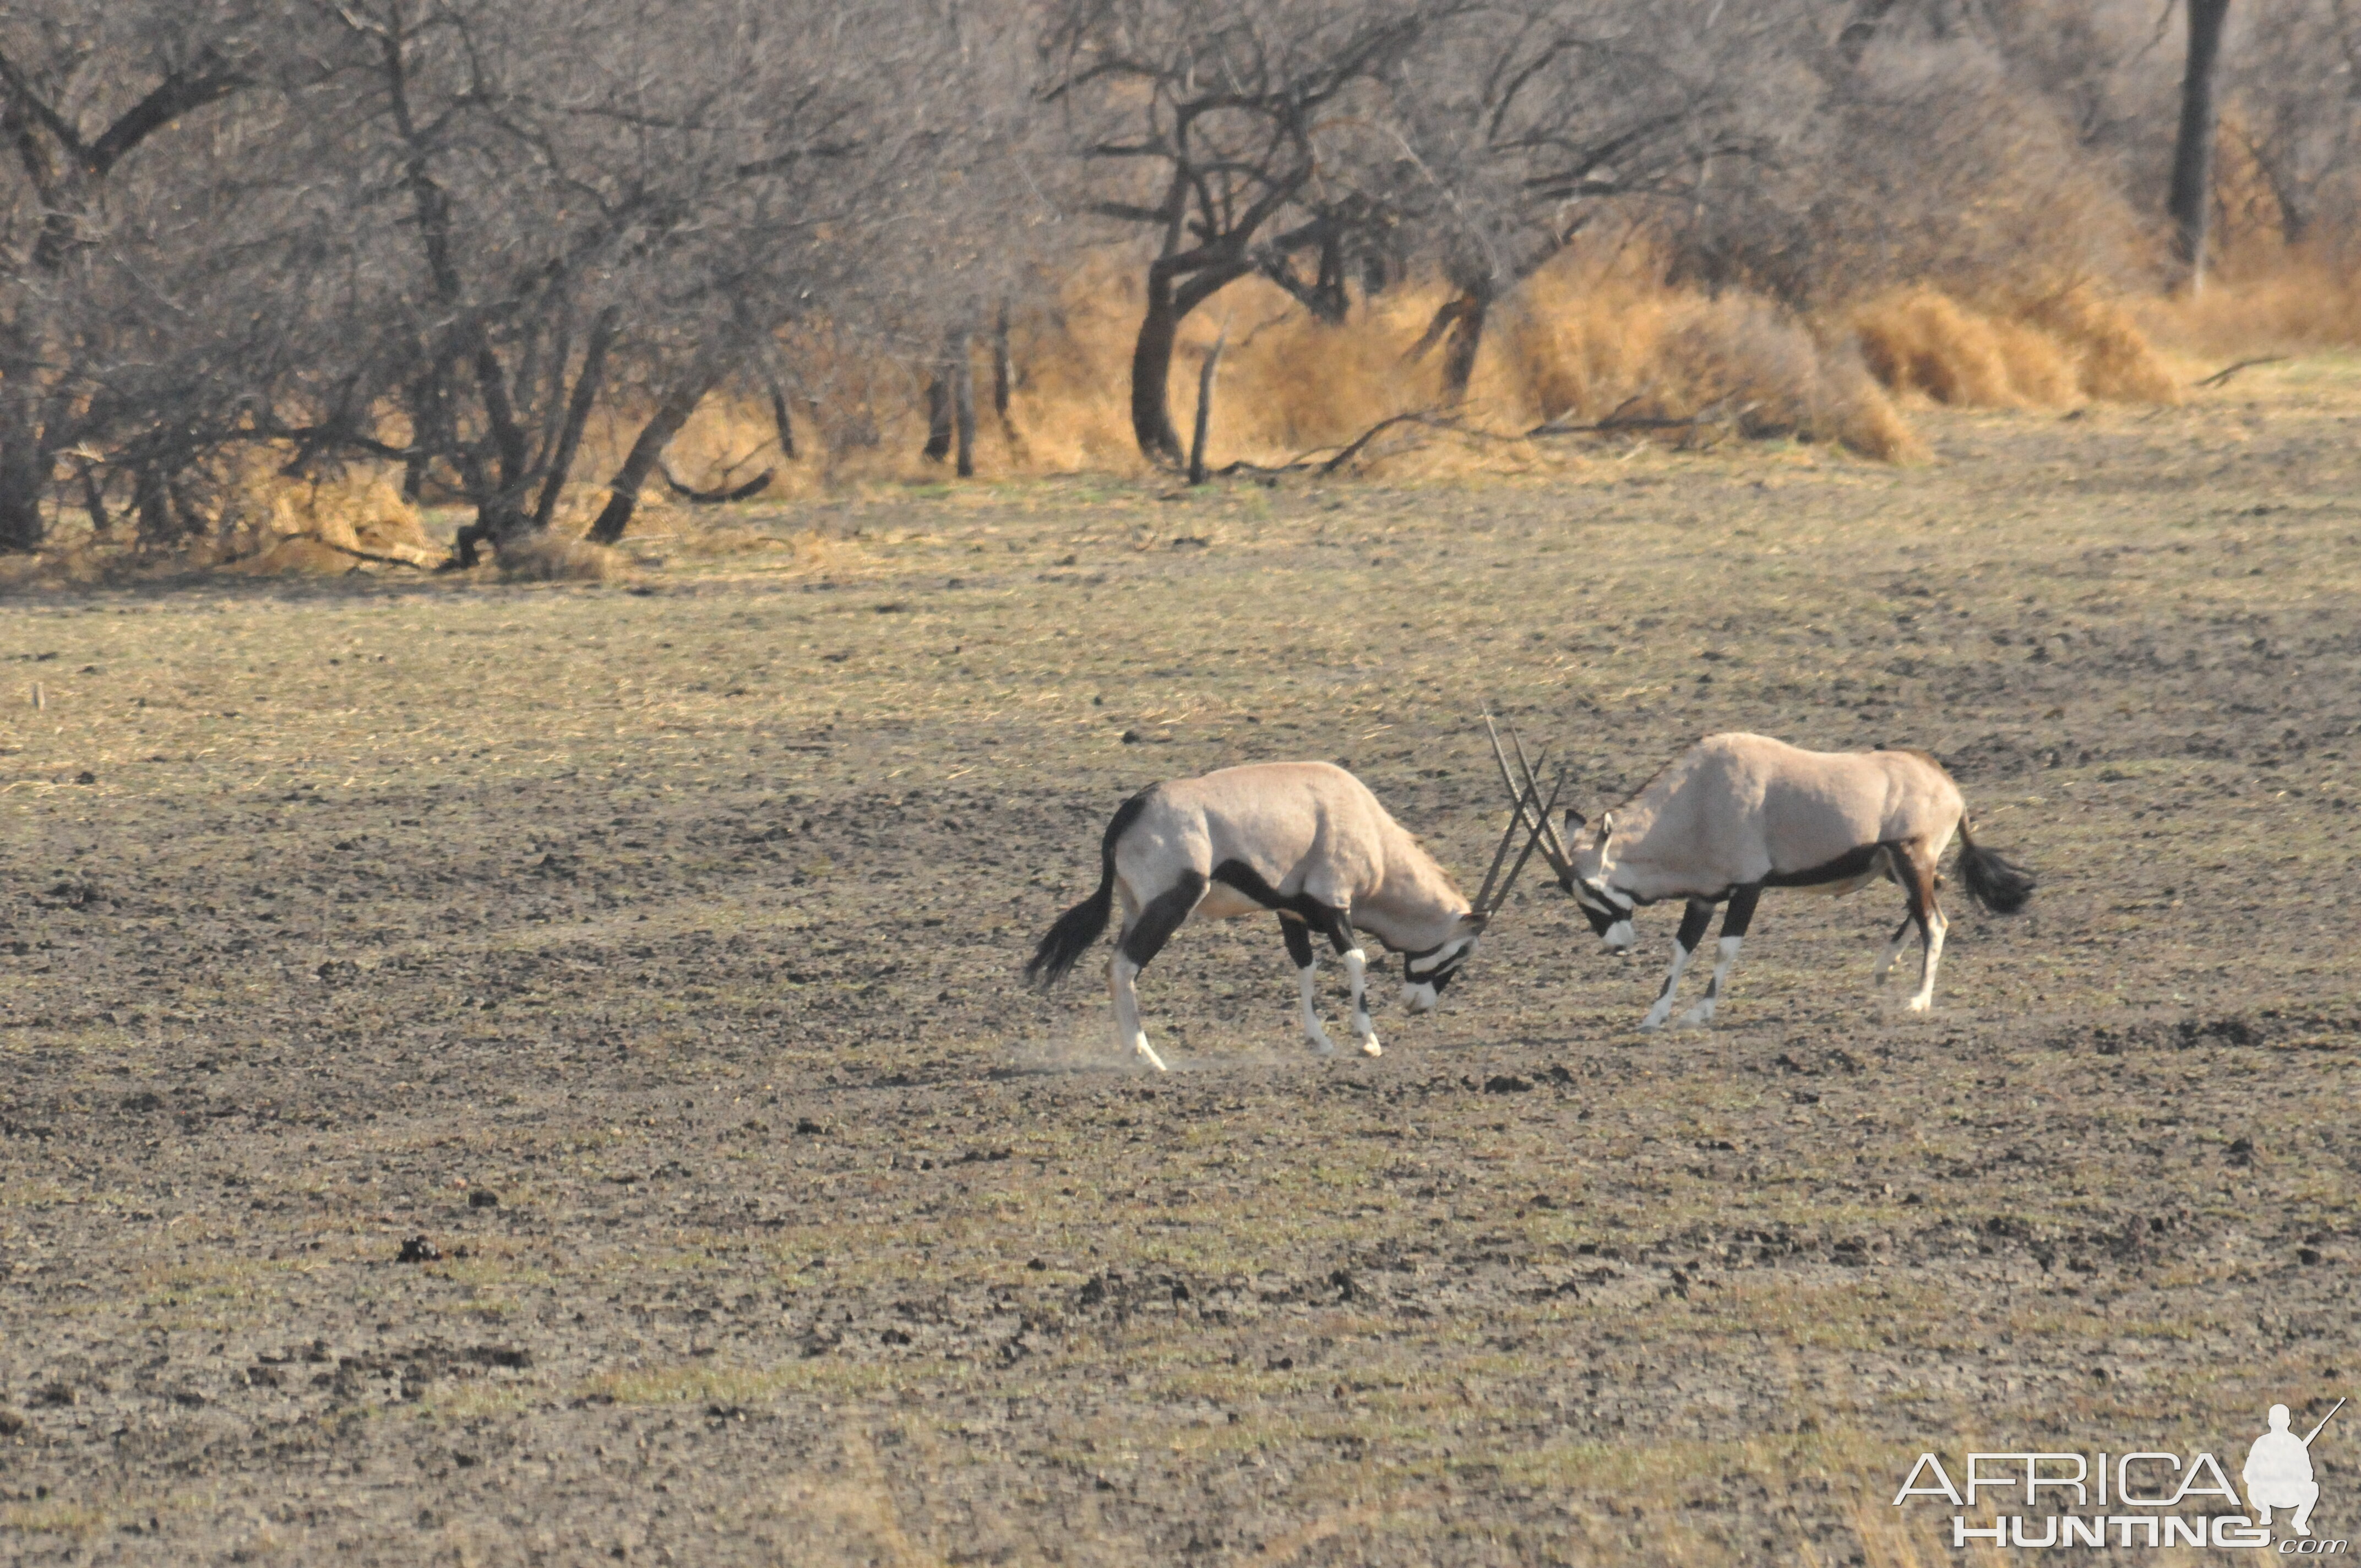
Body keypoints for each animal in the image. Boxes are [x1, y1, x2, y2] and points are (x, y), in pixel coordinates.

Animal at [1024, 755, 1558, 1072]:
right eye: (1463, 952)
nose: (1417, 1004)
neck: (1371, 833)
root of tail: (1131, 809)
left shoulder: (1292, 912)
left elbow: (1306, 967)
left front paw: (1319, 1040)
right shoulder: (1334, 902)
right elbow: (1355, 960)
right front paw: (1367, 1039)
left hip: (1138, 909)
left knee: (1114, 966)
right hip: (1171, 905)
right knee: (1122, 967)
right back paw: (1145, 1056)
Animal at [1492, 717, 2030, 1030]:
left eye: (1590, 890)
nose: (1616, 945)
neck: (1697, 799)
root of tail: (1944, 780)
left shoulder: (1747, 887)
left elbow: (1725, 949)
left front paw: (1700, 1011)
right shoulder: (1704, 897)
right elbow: (1681, 950)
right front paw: (1655, 1014)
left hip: (1910, 858)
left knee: (1934, 920)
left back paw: (1918, 999)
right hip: (1894, 867)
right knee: (1930, 902)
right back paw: (1884, 966)